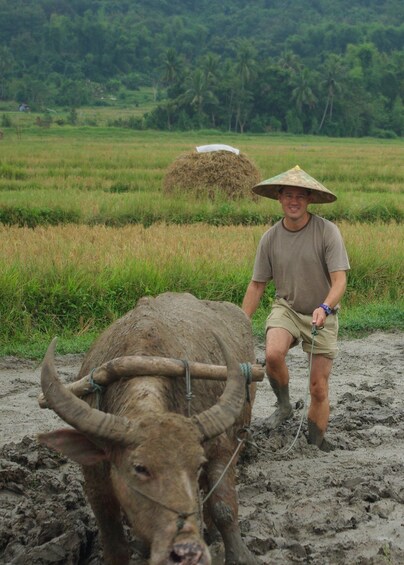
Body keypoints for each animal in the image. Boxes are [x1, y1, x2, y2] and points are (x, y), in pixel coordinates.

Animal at [38, 294, 258, 560]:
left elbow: (223, 508)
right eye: (140, 468)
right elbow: (113, 539)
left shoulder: (220, 448)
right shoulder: (95, 478)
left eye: (196, 465)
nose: (185, 546)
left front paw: (239, 554)